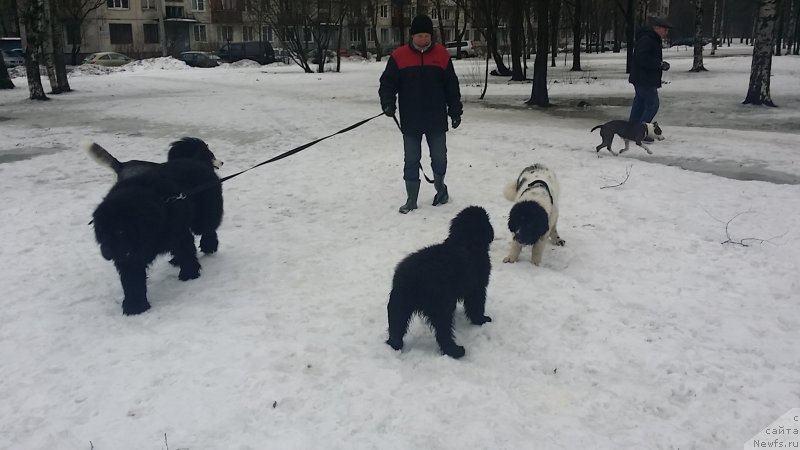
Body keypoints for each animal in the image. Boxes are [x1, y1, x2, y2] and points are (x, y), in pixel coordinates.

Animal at [89, 139, 223, 314]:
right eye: (102, 232)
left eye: (120, 231)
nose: (106, 252)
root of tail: (197, 161)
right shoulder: (129, 256)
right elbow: (132, 280)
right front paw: (135, 306)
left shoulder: (177, 232)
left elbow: (187, 251)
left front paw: (189, 274)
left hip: (203, 215)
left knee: (208, 228)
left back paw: (208, 245)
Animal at [386, 207, 494, 358]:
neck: (466, 242)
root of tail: (412, 276)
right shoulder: (477, 288)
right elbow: (476, 306)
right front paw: (481, 320)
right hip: (441, 306)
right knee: (443, 333)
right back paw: (455, 350)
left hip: (400, 304)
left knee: (396, 328)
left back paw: (395, 346)